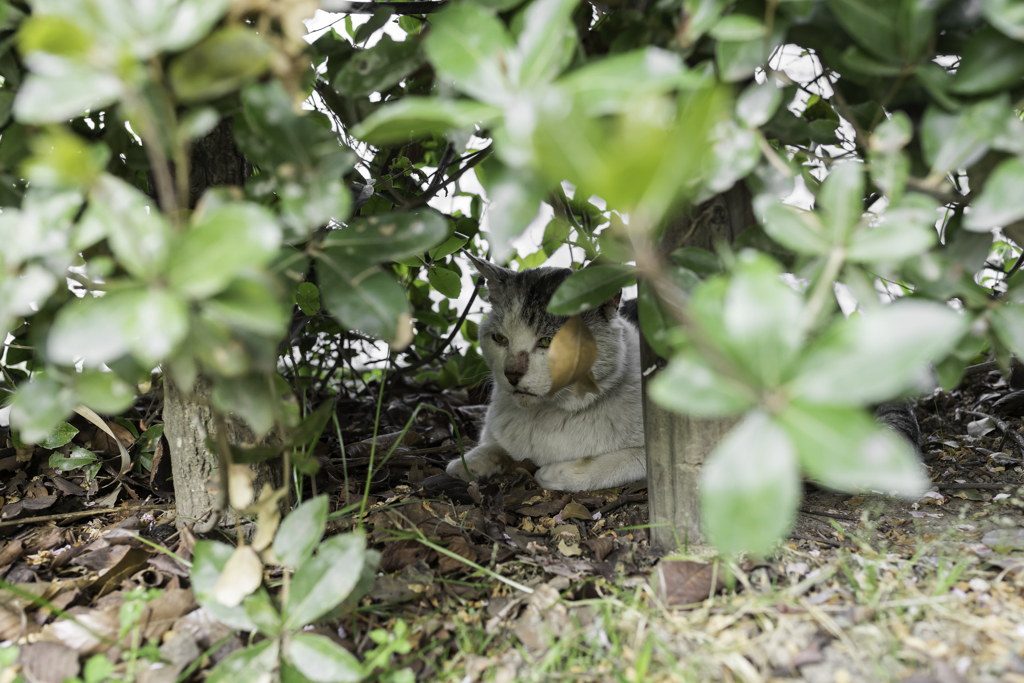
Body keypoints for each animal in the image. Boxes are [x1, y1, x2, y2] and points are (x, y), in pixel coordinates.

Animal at [444, 252, 643, 491]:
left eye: (549, 341)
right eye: (500, 339)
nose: (511, 374)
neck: (549, 415)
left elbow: (619, 460)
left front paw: (551, 472)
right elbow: (492, 445)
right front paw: (466, 463)